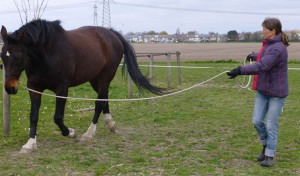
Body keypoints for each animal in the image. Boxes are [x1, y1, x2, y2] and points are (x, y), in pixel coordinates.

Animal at [0, 19, 165, 153]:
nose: (10, 88)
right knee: (104, 98)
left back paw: (89, 133)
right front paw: (30, 144)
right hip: (95, 79)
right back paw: (110, 124)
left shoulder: (62, 89)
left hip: (106, 76)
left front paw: (71, 133)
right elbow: (33, 116)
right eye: (2, 56)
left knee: (99, 103)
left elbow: (57, 117)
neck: (47, 54)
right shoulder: (34, 88)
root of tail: (111, 34)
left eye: (18, 56)